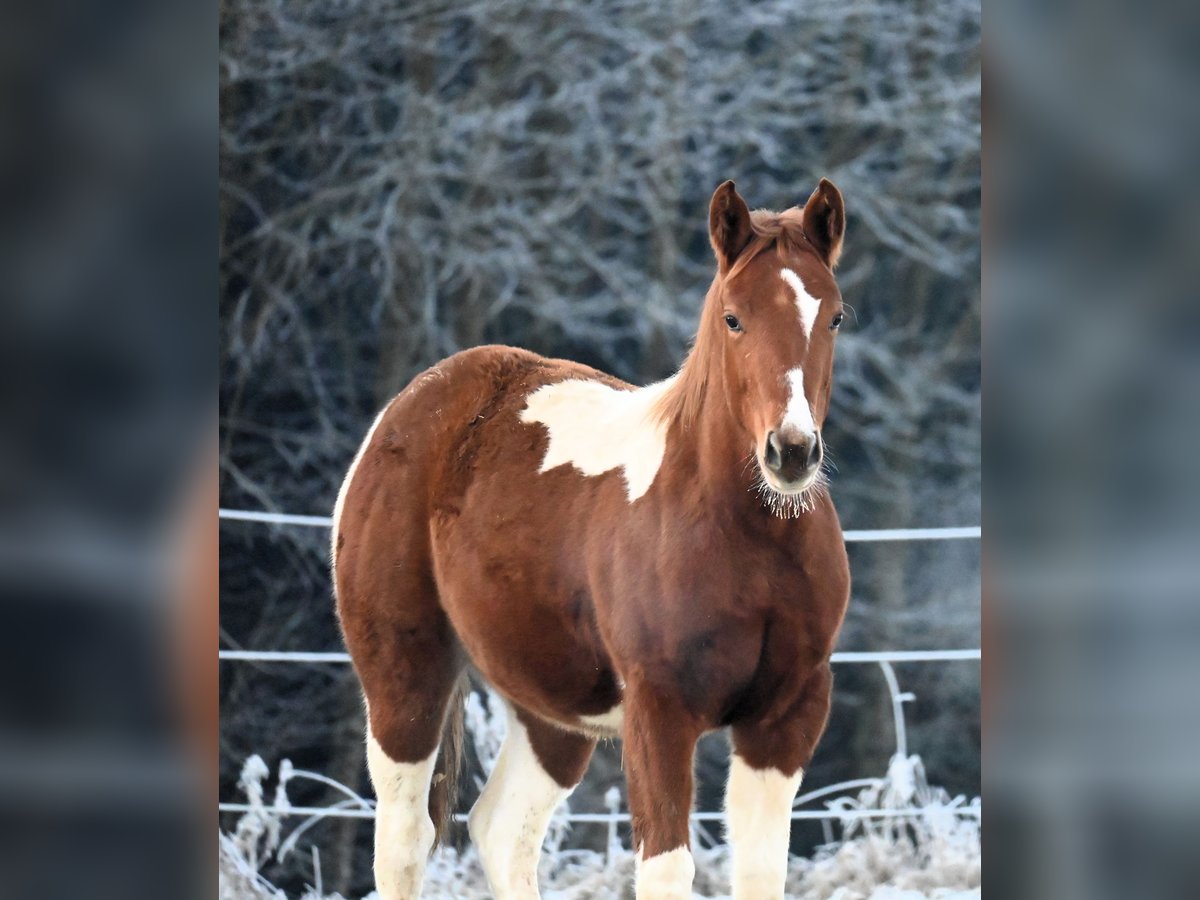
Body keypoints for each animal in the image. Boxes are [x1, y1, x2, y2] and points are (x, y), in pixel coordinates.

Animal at [333, 180, 849, 897]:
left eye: (834, 318)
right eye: (734, 319)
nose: (792, 452)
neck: (747, 541)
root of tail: (411, 406)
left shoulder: (785, 717)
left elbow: (762, 873)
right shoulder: (660, 713)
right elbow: (666, 869)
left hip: (553, 708)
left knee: (501, 830)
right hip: (404, 673)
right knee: (403, 842)